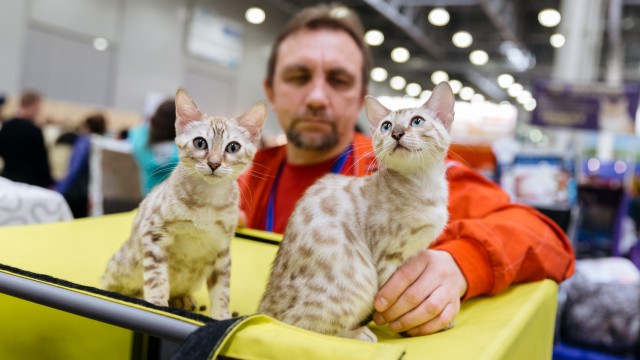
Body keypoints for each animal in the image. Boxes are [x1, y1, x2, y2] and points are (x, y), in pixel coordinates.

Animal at [101, 89, 266, 318]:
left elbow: (222, 290)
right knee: (112, 283)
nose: (214, 163)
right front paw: (157, 305)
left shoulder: (222, 249)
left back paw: (183, 299)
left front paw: (221, 316)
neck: (207, 201)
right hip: (124, 265)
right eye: (200, 143)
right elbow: (157, 279)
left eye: (233, 147)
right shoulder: (154, 234)